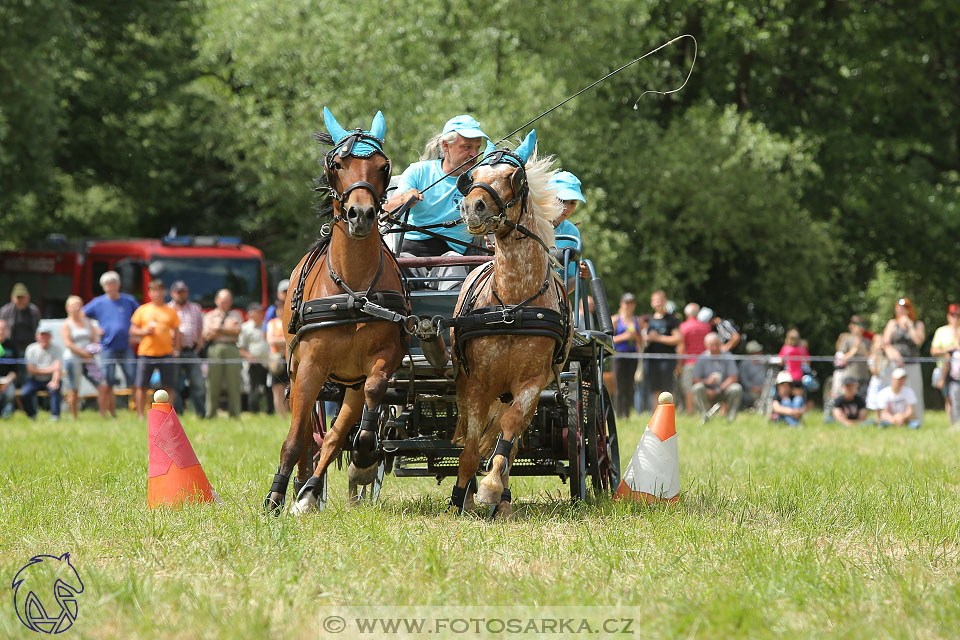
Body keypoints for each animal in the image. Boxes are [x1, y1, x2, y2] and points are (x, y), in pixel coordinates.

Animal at [262, 106, 408, 516]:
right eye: (339, 164)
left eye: (382, 166)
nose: (361, 214)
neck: (354, 290)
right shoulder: (310, 366)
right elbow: (296, 438)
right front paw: (275, 497)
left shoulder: (384, 358)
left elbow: (369, 399)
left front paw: (364, 453)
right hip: (299, 372)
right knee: (307, 434)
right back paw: (299, 487)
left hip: (349, 383)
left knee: (332, 435)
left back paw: (312, 489)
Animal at [448, 131, 572, 520]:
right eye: (471, 176)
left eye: (513, 177)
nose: (472, 207)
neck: (512, 306)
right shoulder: (474, 385)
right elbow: (470, 449)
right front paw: (462, 499)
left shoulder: (532, 383)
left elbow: (510, 430)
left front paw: (491, 488)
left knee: (512, 438)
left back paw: (501, 499)